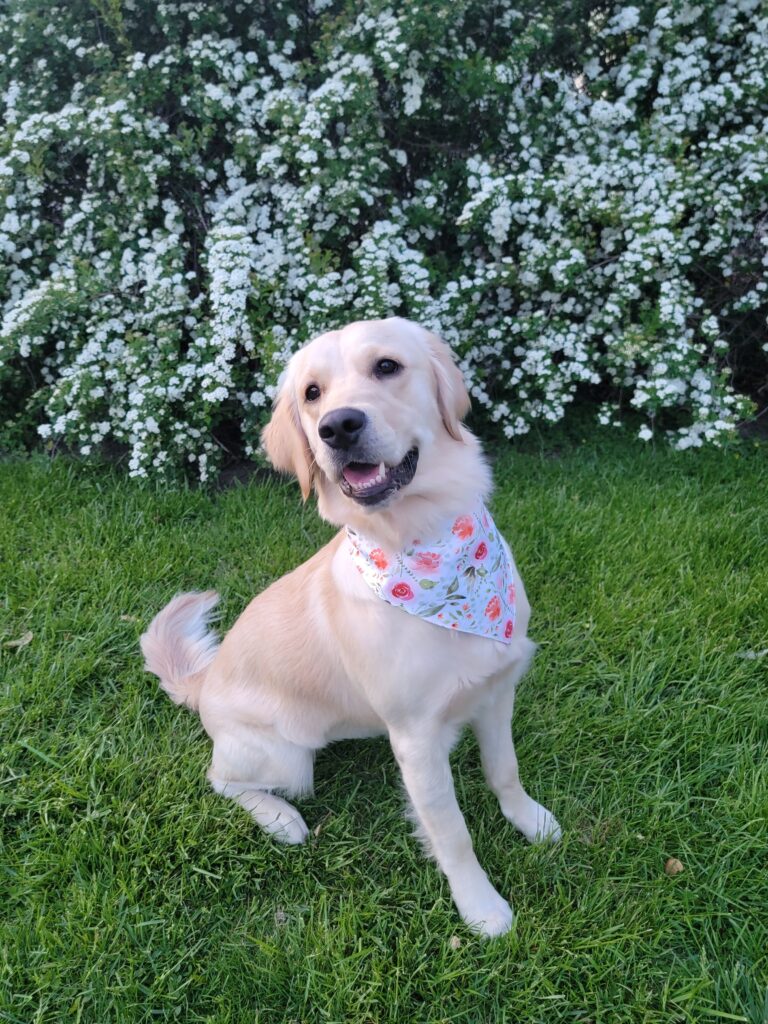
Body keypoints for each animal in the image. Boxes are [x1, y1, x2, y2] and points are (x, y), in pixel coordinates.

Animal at [141, 317, 561, 937]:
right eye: (312, 393)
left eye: (387, 366)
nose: (338, 426)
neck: (425, 544)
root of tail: (205, 682)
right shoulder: (415, 739)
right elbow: (453, 834)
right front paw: (480, 907)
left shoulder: (496, 691)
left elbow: (504, 771)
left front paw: (530, 820)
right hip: (288, 758)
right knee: (222, 778)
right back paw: (280, 817)